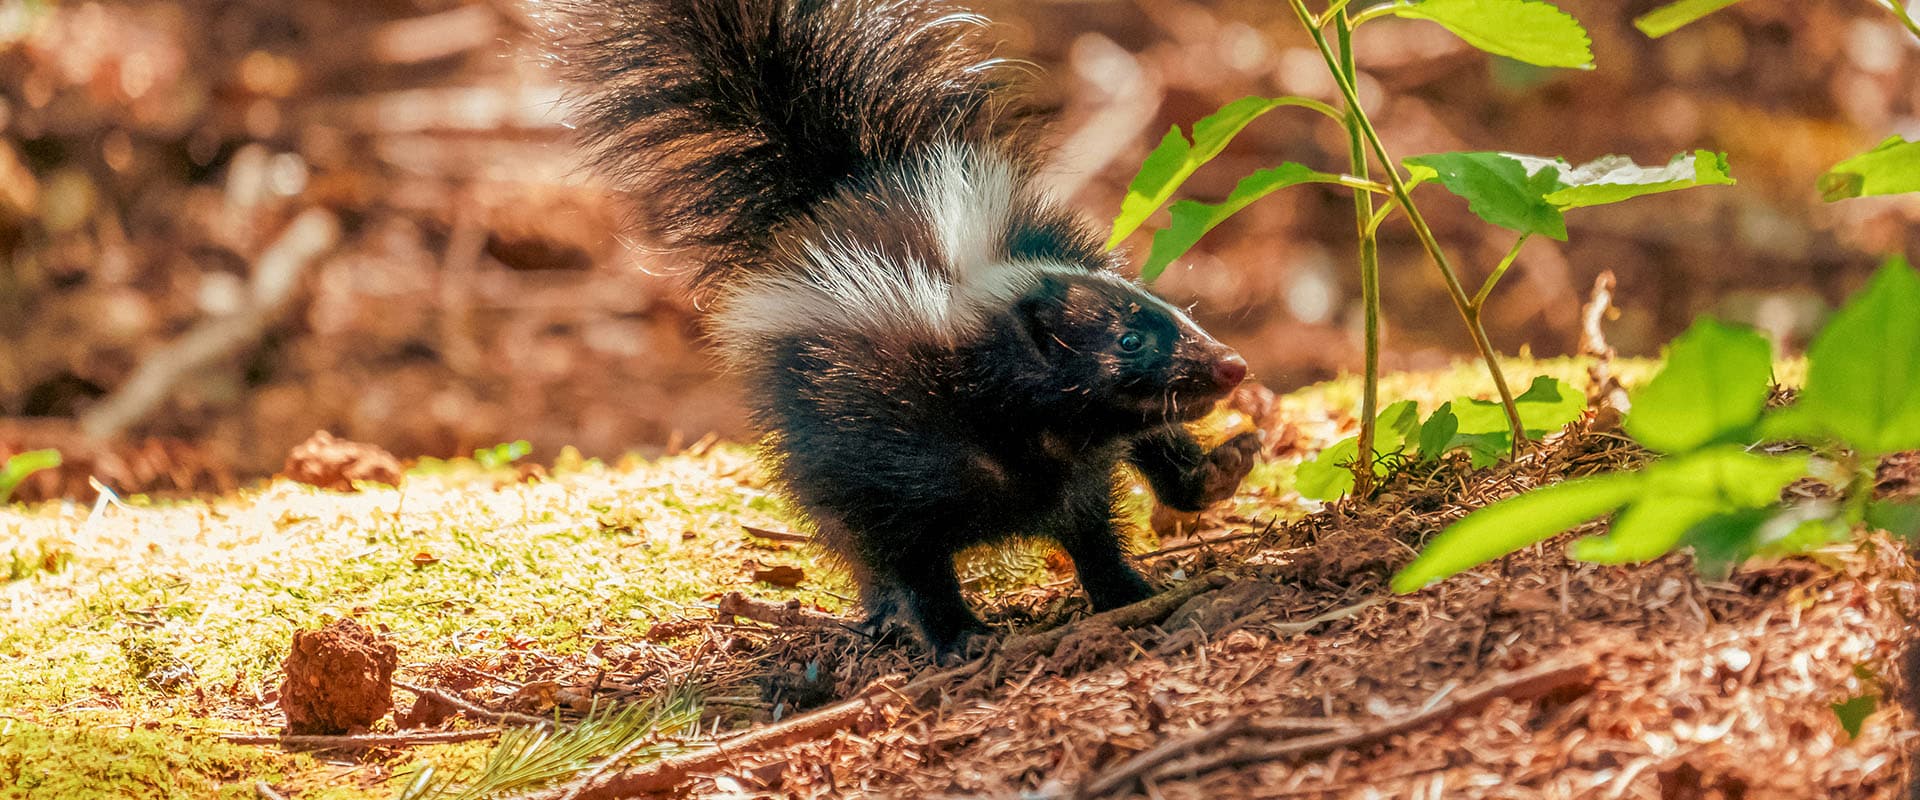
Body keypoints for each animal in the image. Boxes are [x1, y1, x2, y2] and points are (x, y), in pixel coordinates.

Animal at [560, 0, 1259, 656]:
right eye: (1128, 341)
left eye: (1178, 316)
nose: (1231, 364)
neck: (1018, 426)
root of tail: (842, 186)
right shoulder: (887, 443)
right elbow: (909, 555)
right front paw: (957, 635)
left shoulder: (1073, 461)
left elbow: (1090, 527)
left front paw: (1126, 590)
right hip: (814, 430)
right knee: (848, 534)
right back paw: (882, 613)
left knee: (1152, 440)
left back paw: (1217, 471)